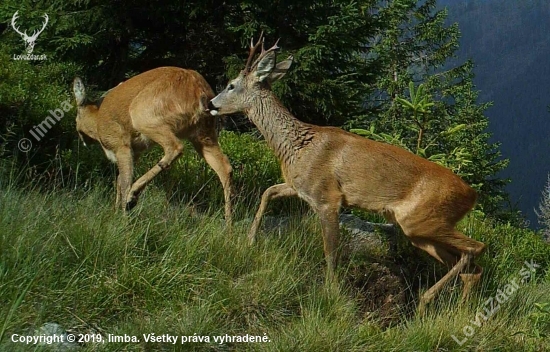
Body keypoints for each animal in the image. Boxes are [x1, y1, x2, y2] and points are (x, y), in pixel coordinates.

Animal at [73, 66, 233, 223]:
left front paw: (122, 219)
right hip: (204, 134)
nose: (81, 137)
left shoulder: (121, 145)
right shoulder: (136, 151)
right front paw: (116, 211)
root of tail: (198, 89)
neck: (97, 120)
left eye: (77, 115)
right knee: (225, 166)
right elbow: (119, 179)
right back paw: (228, 225)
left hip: (144, 116)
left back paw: (132, 197)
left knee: (175, 147)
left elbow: (124, 180)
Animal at [208, 34, 488, 312]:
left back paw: (425, 300)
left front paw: (331, 292)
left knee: (476, 248)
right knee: (471, 268)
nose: (210, 103)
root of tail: (472, 195)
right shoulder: (300, 187)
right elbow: (267, 192)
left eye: (231, 85)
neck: (296, 146)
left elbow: (330, 250)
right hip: (420, 232)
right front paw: (249, 239)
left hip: (422, 219)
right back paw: (457, 310)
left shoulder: (327, 197)